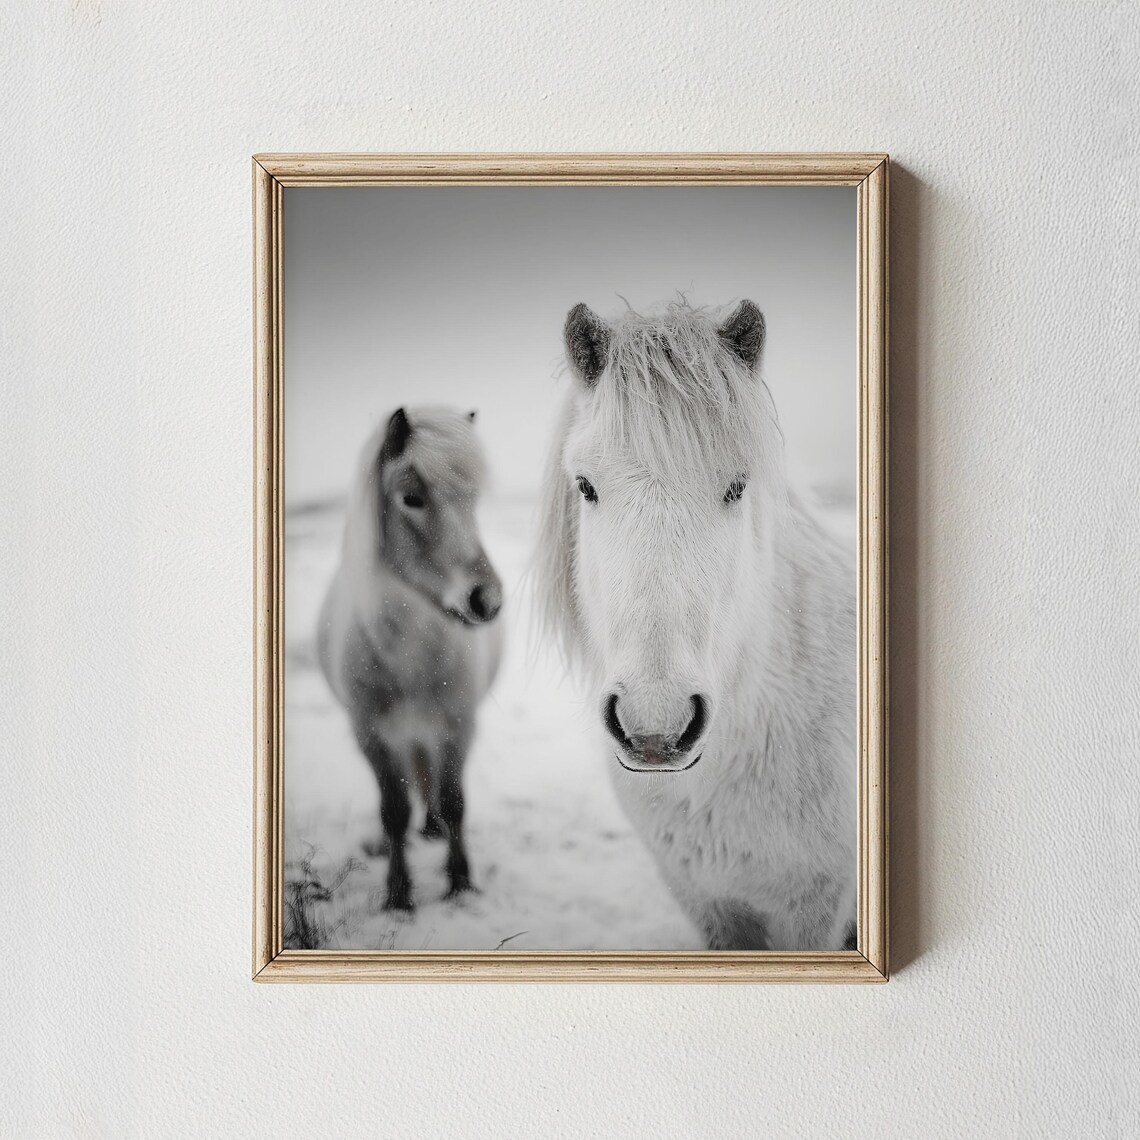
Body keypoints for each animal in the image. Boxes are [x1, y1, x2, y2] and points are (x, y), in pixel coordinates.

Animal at [317, 406, 503, 912]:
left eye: (472, 500)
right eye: (411, 498)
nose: (487, 600)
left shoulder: (458, 725)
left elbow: (455, 802)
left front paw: (460, 884)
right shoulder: (372, 734)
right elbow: (394, 811)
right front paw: (399, 895)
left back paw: (434, 828)